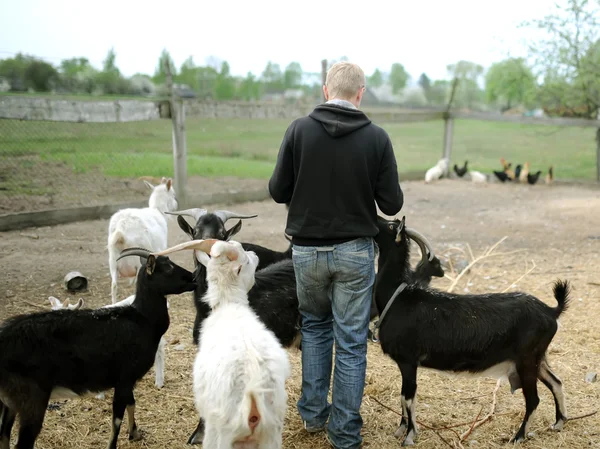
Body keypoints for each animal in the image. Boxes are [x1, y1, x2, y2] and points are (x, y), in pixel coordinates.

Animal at [0, 248, 195, 448]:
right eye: (168, 268)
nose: (194, 277)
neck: (142, 319)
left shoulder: (127, 380)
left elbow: (131, 403)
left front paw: (134, 433)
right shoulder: (124, 378)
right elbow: (117, 418)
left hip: (9, 402)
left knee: (4, 436)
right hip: (32, 399)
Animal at [157, 236, 290, 446]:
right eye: (246, 262)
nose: (254, 255)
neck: (229, 305)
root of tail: (252, 396)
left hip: (220, 432)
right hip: (271, 433)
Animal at [372, 216, 568, 444]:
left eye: (390, 226)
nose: (375, 219)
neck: (397, 297)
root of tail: (551, 311)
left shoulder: (408, 361)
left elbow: (408, 397)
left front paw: (409, 436)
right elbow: (403, 397)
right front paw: (400, 429)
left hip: (527, 360)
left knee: (534, 399)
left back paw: (518, 437)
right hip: (537, 358)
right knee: (556, 382)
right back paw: (559, 423)